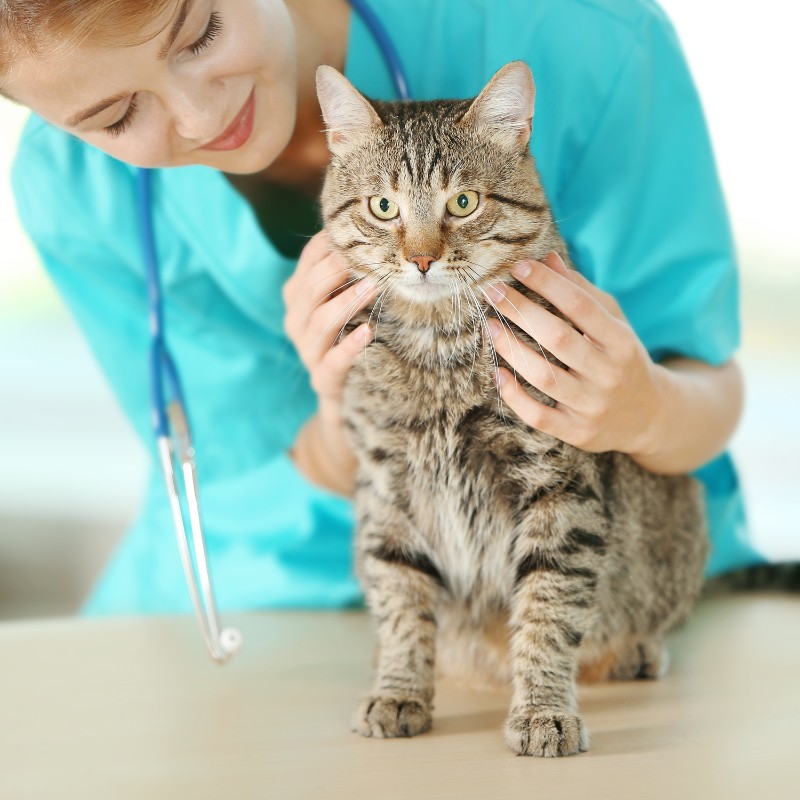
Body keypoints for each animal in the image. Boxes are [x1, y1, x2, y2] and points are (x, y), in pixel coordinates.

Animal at [312, 62, 708, 756]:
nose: (421, 258)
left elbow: (547, 610)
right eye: (383, 207)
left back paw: (635, 650)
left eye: (463, 203)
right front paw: (399, 689)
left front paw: (543, 709)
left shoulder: (557, 489)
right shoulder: (386, 490)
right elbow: (400, 599)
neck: (438, 348)